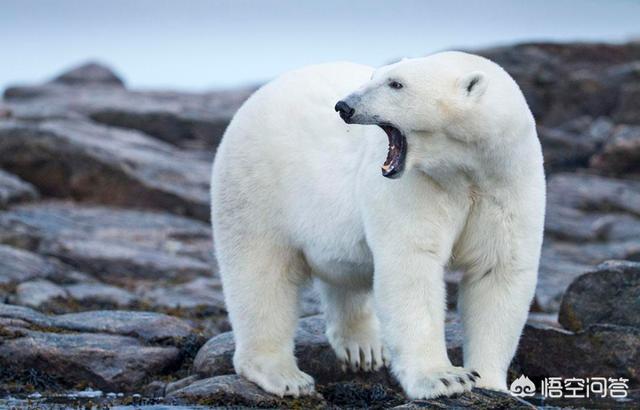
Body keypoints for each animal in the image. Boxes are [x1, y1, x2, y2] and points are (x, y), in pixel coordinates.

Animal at [210, 52, 544, 400]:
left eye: (396, 84)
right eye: (375, 75)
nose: (344, 106)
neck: (465, 171)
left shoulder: (507, 186)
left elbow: (498, 270)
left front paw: (491, 383)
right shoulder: (419, 186)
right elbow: (412, 266)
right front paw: (444, 378)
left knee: (342, 274)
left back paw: (363, 347)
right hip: (256, 184)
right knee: (261, 275)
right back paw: (283, 375)